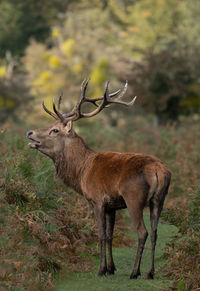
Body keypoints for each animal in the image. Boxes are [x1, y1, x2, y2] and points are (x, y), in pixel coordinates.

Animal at [26, 79, 170, 280]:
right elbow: (110, 235)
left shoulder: (97, 200)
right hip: (159, 200)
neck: (82, 171)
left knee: (143, 232)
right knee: (155, 233)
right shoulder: (112, 206)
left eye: (54, 130)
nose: (29, 133)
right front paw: (111, 268)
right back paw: (150, 272)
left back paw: (135, 272)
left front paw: (101, 269)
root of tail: (158, 170)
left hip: (134, 198)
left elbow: (101, 234)